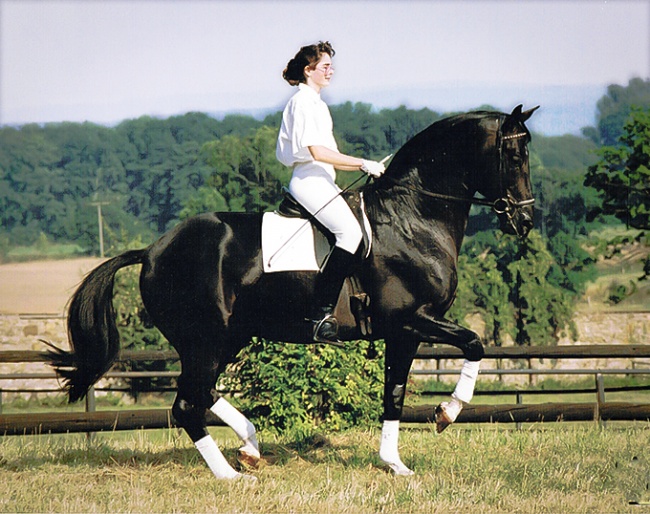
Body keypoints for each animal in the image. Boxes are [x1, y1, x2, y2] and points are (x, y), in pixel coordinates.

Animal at [46, 104, 536, 476]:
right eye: (514, 157)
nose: (525, 220)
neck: (411, 219)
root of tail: (152, 250)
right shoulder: (412, 320)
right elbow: (474, 343)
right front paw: (447, 413)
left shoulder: (406, 332)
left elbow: (394, 393)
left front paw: (395, 464)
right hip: (206, 339)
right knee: (187, 402)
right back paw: (229, 475)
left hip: (226, 337)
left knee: (202, 393)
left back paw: (249, 446)